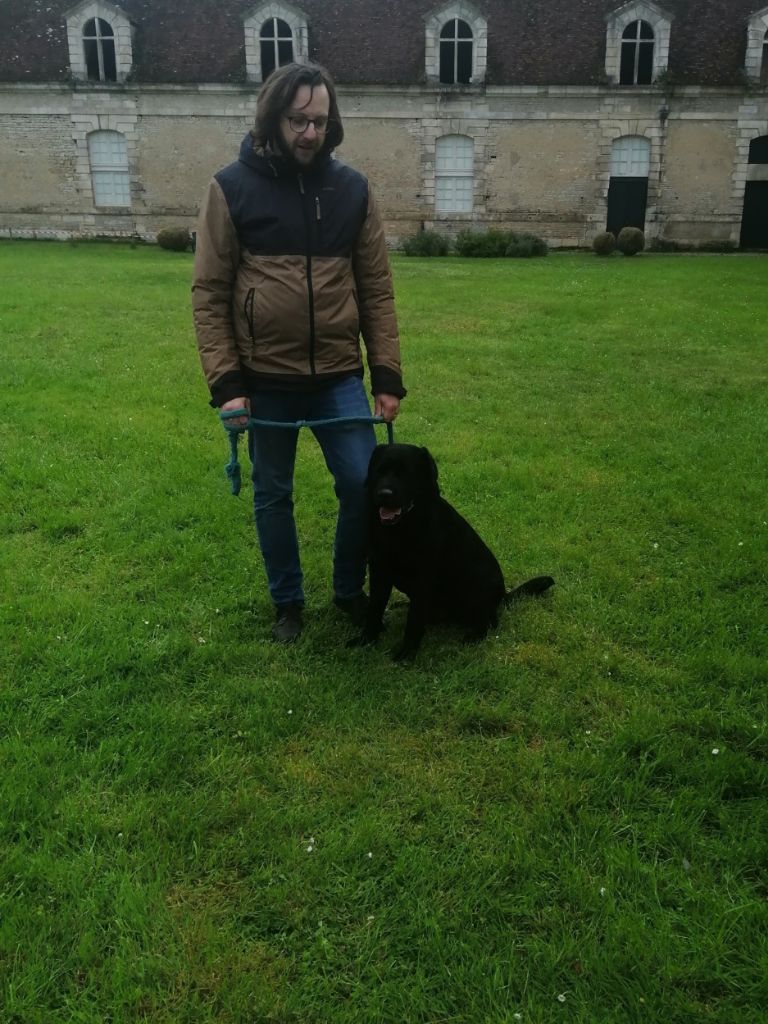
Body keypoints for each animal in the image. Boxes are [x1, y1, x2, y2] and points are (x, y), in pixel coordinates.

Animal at [352, 444, 557, 659]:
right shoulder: (379, 572)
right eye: (379, 471)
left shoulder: (423, 580)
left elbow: (414, 621)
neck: (401, 530)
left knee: (490, 620)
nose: (384, 494)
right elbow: (374, 610)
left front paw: (406, 654)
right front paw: (366, 640)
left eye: (406, 473)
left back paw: (474, 636)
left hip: (478, 585)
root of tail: (502, 596)